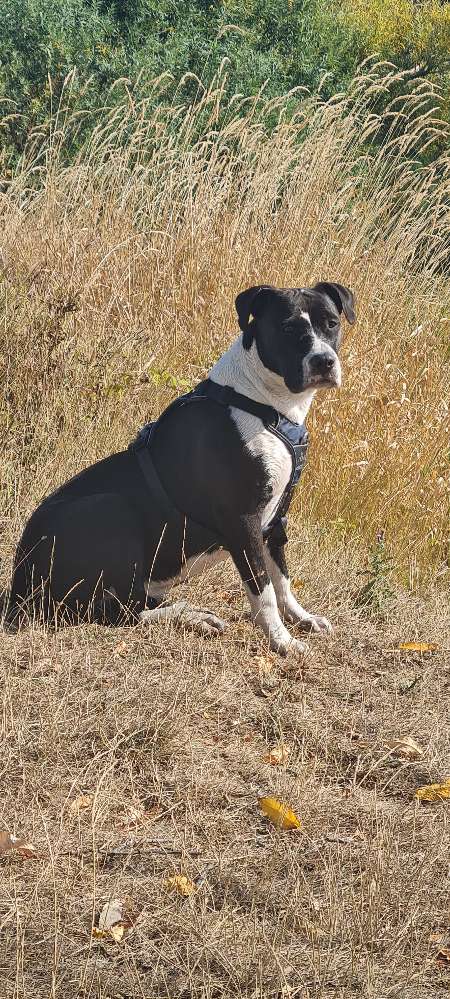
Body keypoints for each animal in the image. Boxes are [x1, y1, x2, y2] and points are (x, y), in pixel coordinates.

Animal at [3, 282, 356, 656]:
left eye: (331, 323)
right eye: (287, 328)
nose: (323, 361)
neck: (263, 404)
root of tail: (18, 581)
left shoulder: (275, 518)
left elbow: (282, 579)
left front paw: (301, 618)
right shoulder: (243, 519)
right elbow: (263, 590)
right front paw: (281, 639)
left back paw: (190, 613)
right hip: (111, 508)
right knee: (116, 610)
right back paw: (186, 617)